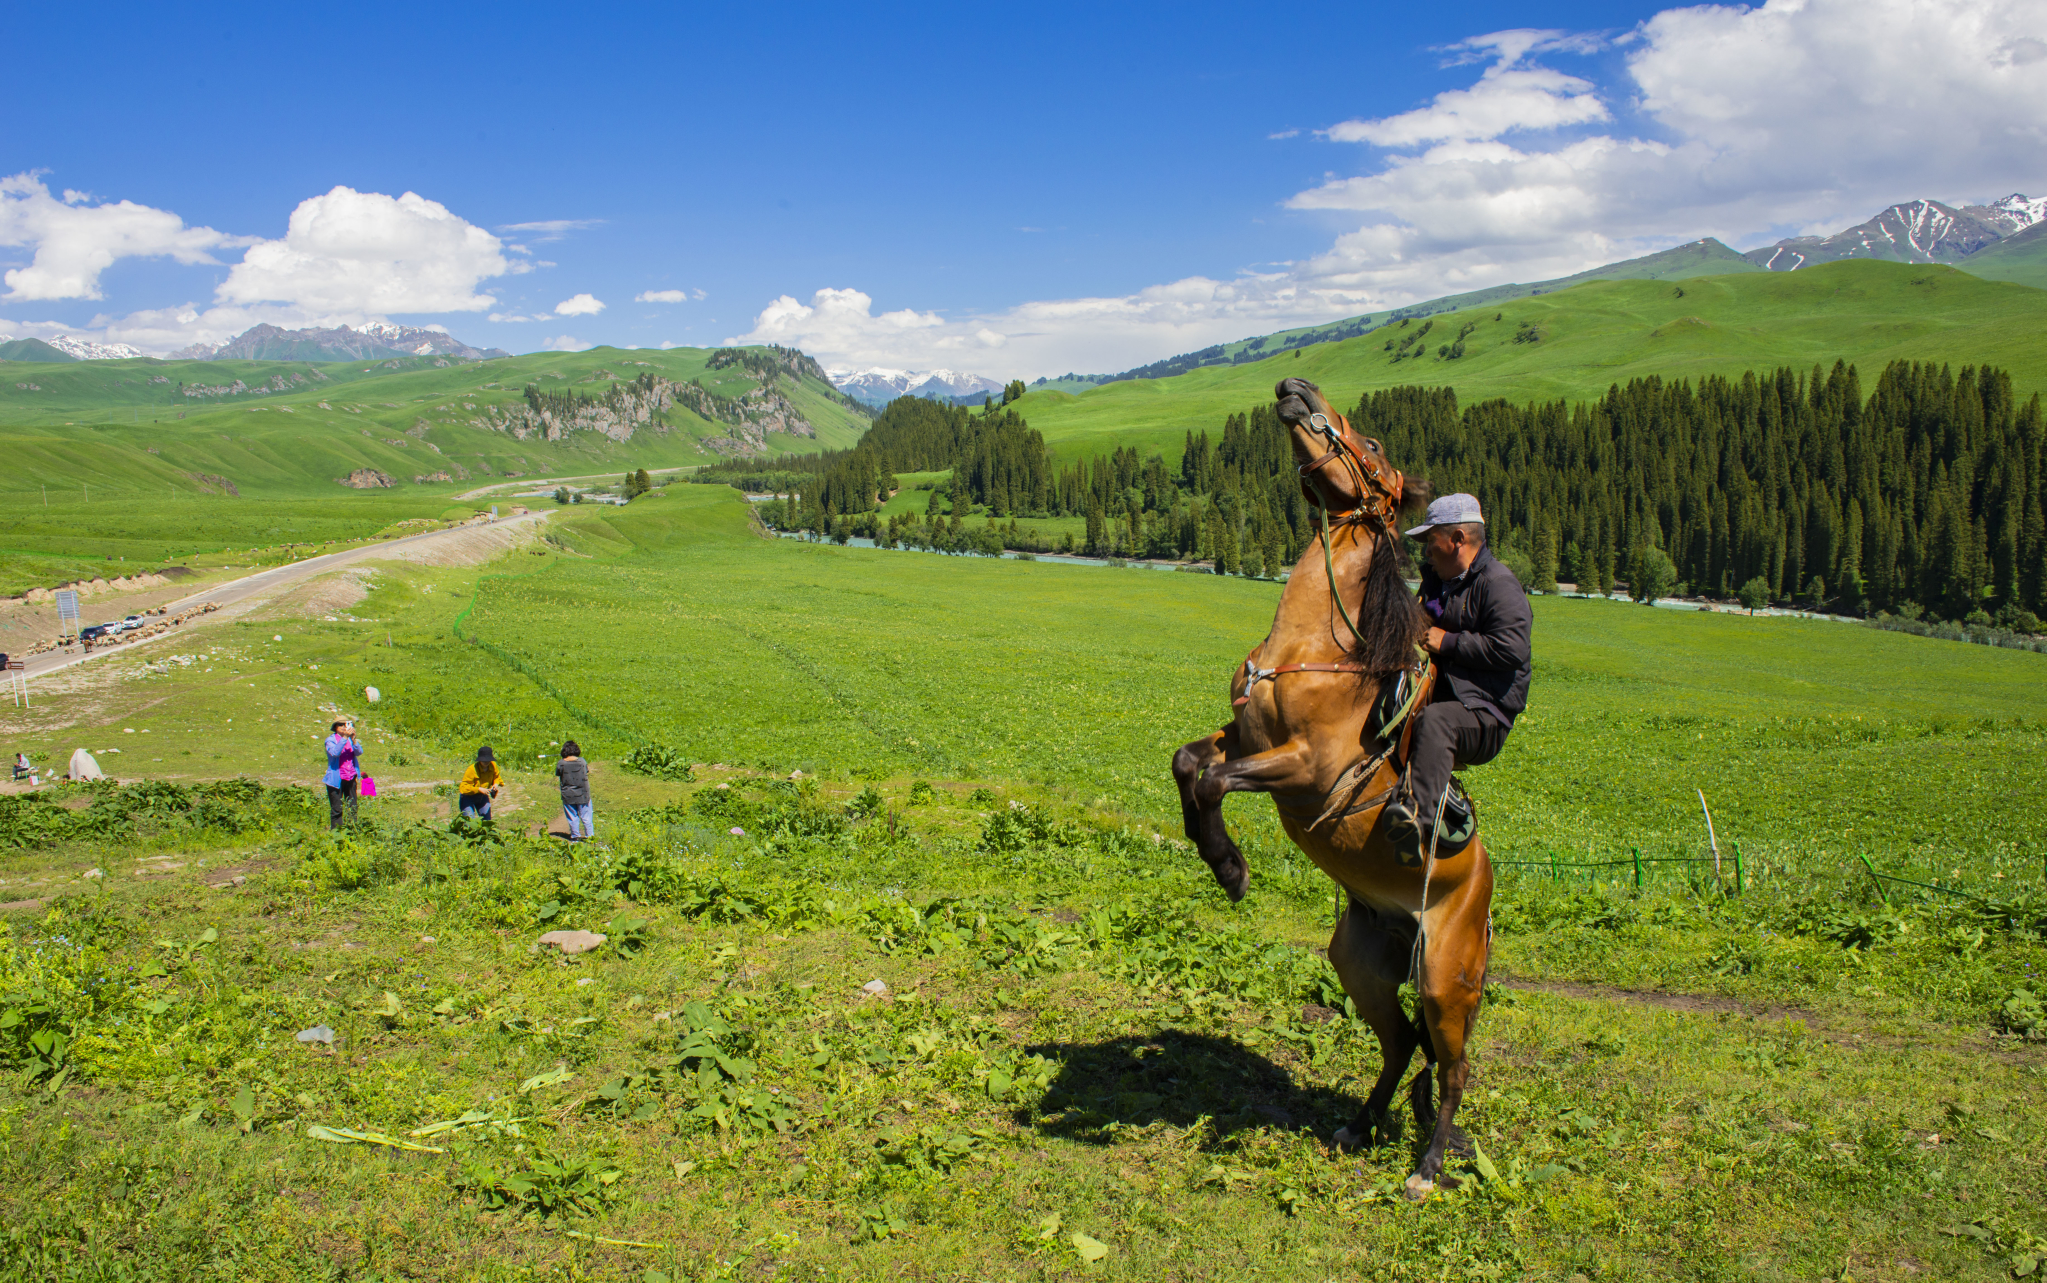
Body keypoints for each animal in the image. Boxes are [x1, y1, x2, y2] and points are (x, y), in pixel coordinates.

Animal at [1179, 376, 1498, 1203]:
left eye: (1375, 443)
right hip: (1360, 964)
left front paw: (1231, 867)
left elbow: (1214, 780)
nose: (1296, 387)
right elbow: (1189, 764)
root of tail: (1484, 886)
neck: (1313, 645)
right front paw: (1219, 861)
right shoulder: (1244, 736)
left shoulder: (1303, 767)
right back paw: (1359, 1124)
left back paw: (1426, 1167)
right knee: (1401, 1045)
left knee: (1452, 1067)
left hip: (1447, 983)